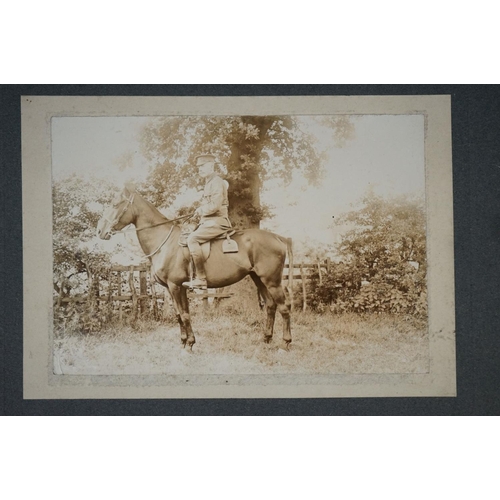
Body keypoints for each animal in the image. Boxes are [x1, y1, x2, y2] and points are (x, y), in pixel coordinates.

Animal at [96, 184, 292, 352]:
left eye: (115, 204)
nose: (100, 231)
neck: (165, 243)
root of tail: (278, 238)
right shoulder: (174, 288)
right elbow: (180, 315)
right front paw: (185, 342)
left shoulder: (175, 286)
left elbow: (184, 315)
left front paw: (189, 344)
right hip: (258, 279)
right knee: (270, 306)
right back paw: (266, 339)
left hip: (272, 281)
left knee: (284, 308)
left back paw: (285, 343)